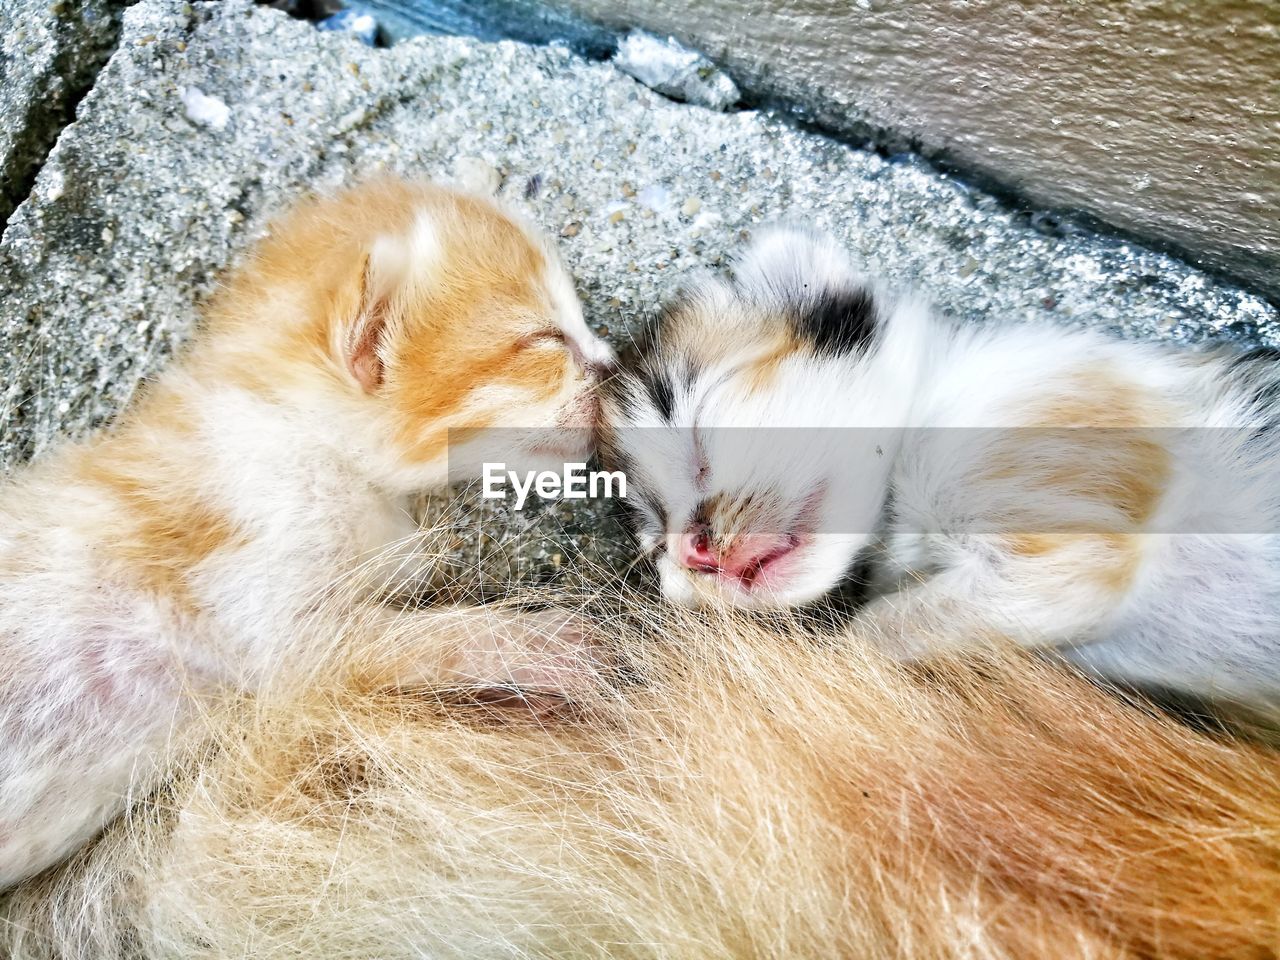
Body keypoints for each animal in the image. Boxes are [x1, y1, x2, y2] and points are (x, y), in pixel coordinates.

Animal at [0, 179, 614, 885]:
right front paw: (546, 645)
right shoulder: (266, 608)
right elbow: (412, 639)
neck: (301, 430)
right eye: (544, 338)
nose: (616, 364)